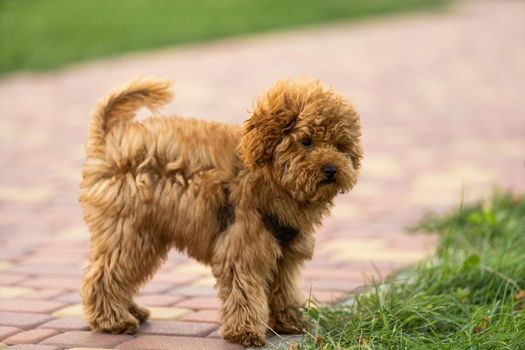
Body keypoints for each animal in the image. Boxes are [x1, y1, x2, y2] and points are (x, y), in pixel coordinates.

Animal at [81, 75, 360, 346]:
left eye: (339, 145)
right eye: (306, 141)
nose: (331, 170)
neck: (271, 178)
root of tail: (109, 141)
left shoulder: (286, 254)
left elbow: (285, 288)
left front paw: (289, 322)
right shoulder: (242, 246)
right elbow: (244, 290)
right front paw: (245, 332)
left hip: (143, 235)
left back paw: (131, 311)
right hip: (128, 230)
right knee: (104, 275)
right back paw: (113, 320)